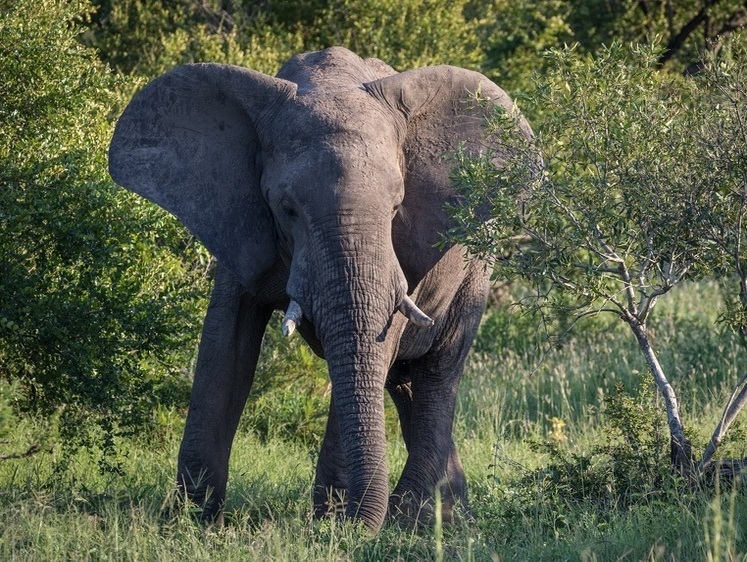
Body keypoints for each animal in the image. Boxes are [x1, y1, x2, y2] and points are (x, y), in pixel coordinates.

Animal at [108, 44, 536, 528]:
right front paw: (190, 519)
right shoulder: (239, 221)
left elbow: (376, 341)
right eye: (286, 207)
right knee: (404, 382)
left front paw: (336, 526)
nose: (359, 521)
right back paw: (438, 515)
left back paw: (419, 517)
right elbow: (225, 346)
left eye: (396, 206)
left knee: (437, 372)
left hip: (477, 269)